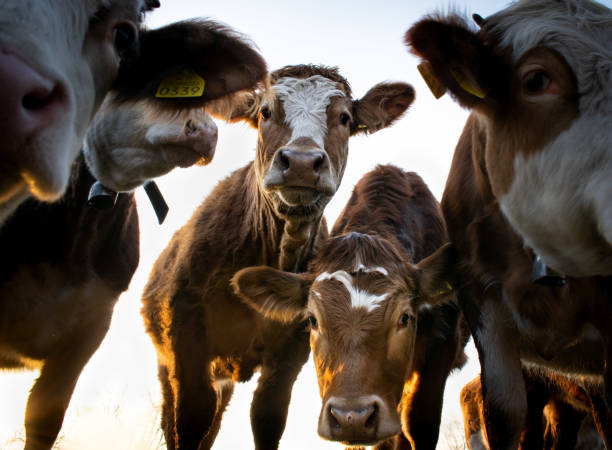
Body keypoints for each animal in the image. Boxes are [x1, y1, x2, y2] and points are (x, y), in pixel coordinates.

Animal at [142, 64, 416, 450]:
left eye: (344, 118)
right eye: (265, 112)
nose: (301, 162)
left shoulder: (291, 353)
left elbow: (267, 418)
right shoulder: (185, 336)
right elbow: (191, 418)